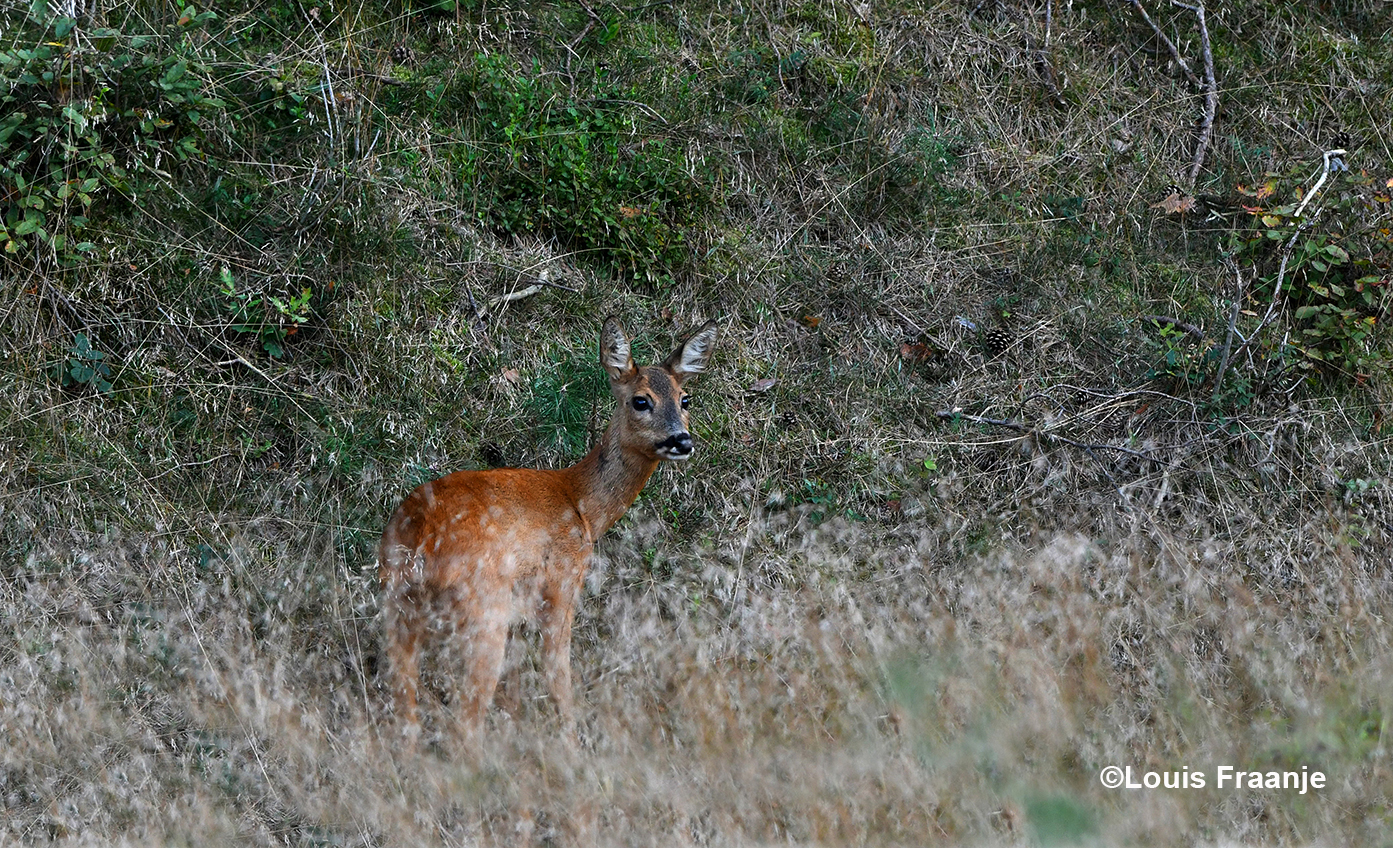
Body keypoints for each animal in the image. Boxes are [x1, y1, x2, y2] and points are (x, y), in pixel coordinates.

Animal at [378, 314, 718, 729]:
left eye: (685, 399)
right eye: (641, 400)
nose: (682, 441)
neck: (582, 506)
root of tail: (421, 537)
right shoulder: (560, 583)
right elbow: (558, 680)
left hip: (398, 608)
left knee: (406, 707)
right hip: (483, 610)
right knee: (466, 719)